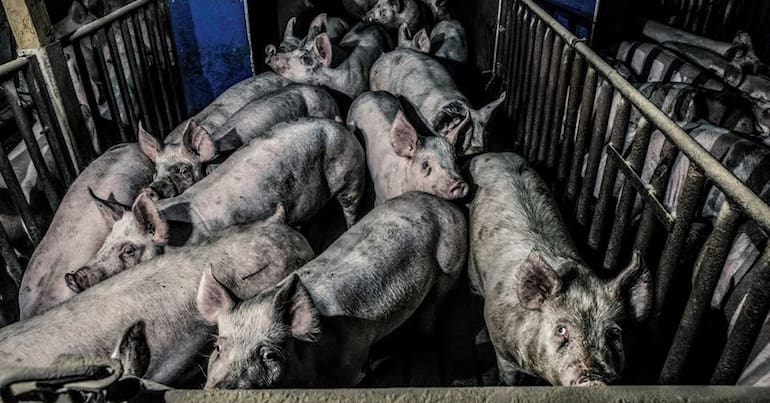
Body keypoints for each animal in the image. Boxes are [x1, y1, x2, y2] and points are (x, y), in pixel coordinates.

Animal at [198, 191, 467, 388]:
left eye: (269, 355)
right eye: (218, 348)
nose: (221, 388)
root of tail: (441, 203)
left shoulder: (352, 358)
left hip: (451, 263)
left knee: (435, 304)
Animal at [467, 153, 652, 386]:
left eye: (613, 335)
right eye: (561, 329)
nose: (594, 379)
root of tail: (495, 154)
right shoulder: (503, 351)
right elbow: (509, 377)